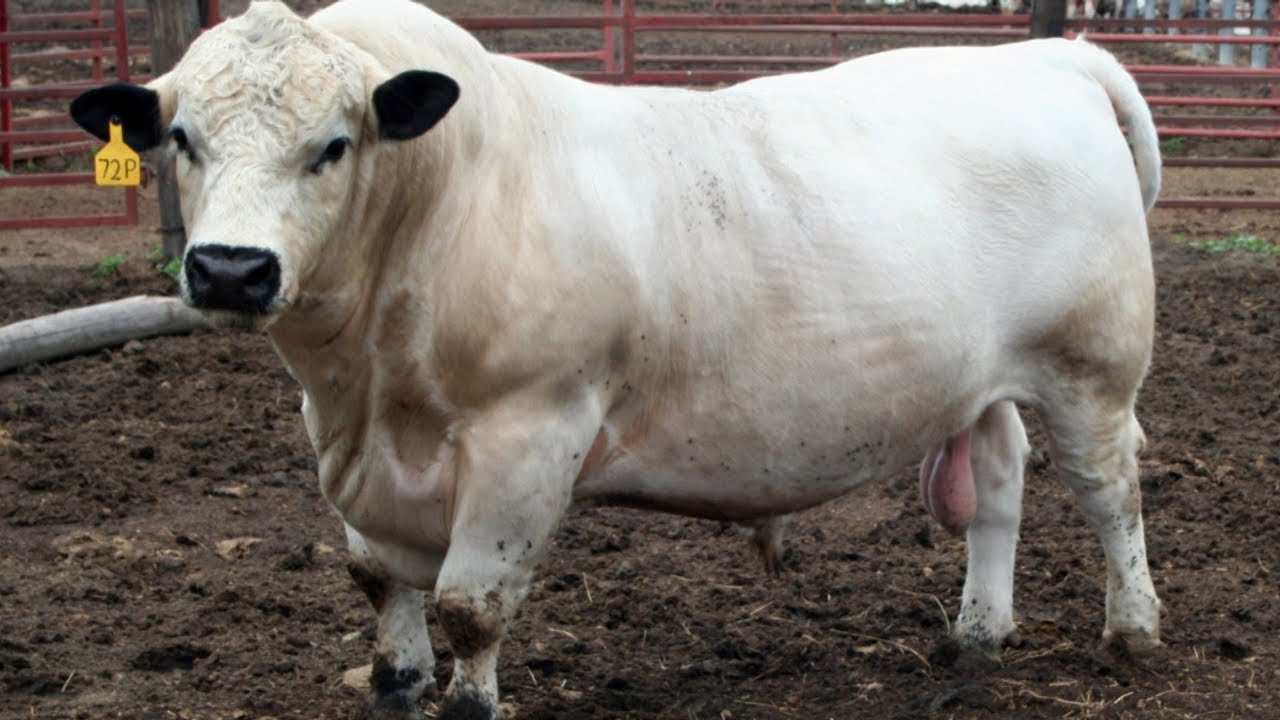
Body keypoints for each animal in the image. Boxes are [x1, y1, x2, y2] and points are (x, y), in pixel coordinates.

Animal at [70, 1, 1164, 718]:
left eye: (333, 145)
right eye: (180, 137)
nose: (230, 268)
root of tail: (1046, 60)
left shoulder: (529, 434)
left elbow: (469, 608)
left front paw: (466, 700)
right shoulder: (343, 441)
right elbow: (380, 583)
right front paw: (396, 683)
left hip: (1093, 367)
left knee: (1111, 494)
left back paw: (1132, 631)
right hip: (982, 379)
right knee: (998, 484)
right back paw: (977, 634)